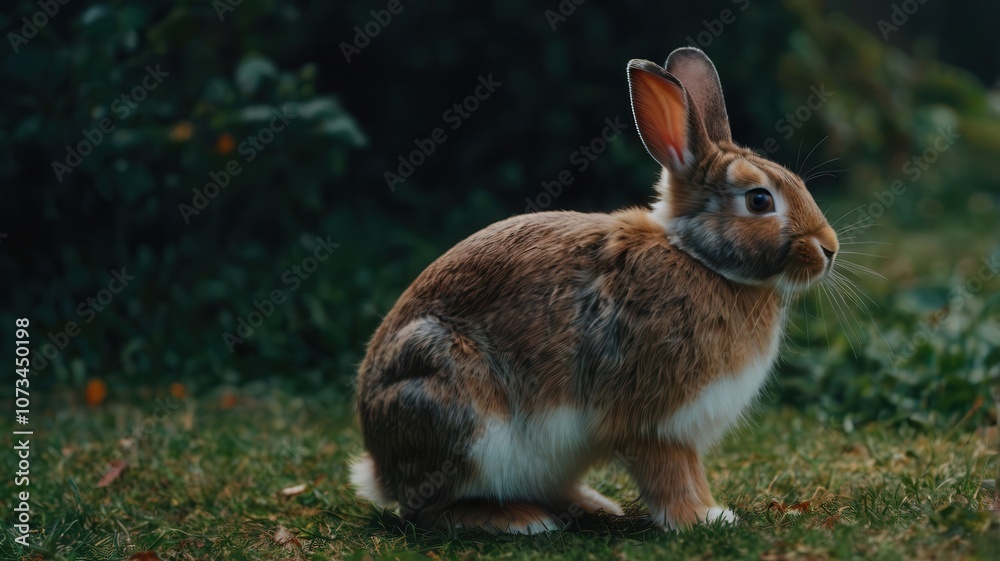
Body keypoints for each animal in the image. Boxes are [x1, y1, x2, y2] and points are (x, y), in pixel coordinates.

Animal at [350, 46, 839, 534]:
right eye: (759, 200)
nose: (829, 248)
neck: (699, 258)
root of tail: (379, 466)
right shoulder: (655, 423)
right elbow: (674, 473)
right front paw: (703, 518)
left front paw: (708, 513)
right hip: (459, 411)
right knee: (428, 509)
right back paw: (519, 519)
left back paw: (590, 504)